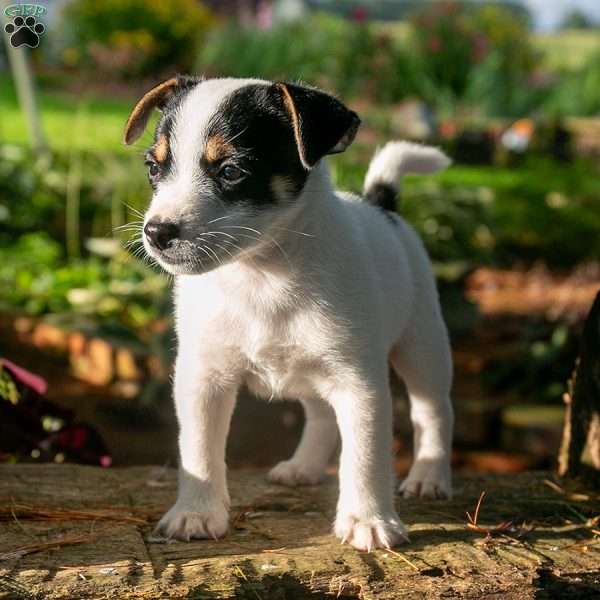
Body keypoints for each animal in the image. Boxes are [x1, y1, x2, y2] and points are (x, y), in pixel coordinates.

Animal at [124, 77, 452, 552]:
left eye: (231, 171)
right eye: (153, 167)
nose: (156, 232)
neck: (260, 275)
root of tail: (381, 206)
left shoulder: (360, 385)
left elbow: (365, 457)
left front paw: (368, 520)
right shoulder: (203, 379)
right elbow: (199, 450)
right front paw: (196, 513)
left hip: (422, 346)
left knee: (432, 411)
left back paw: (429, 476)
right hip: (313, 372)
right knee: (320, 415)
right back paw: (304, 467)